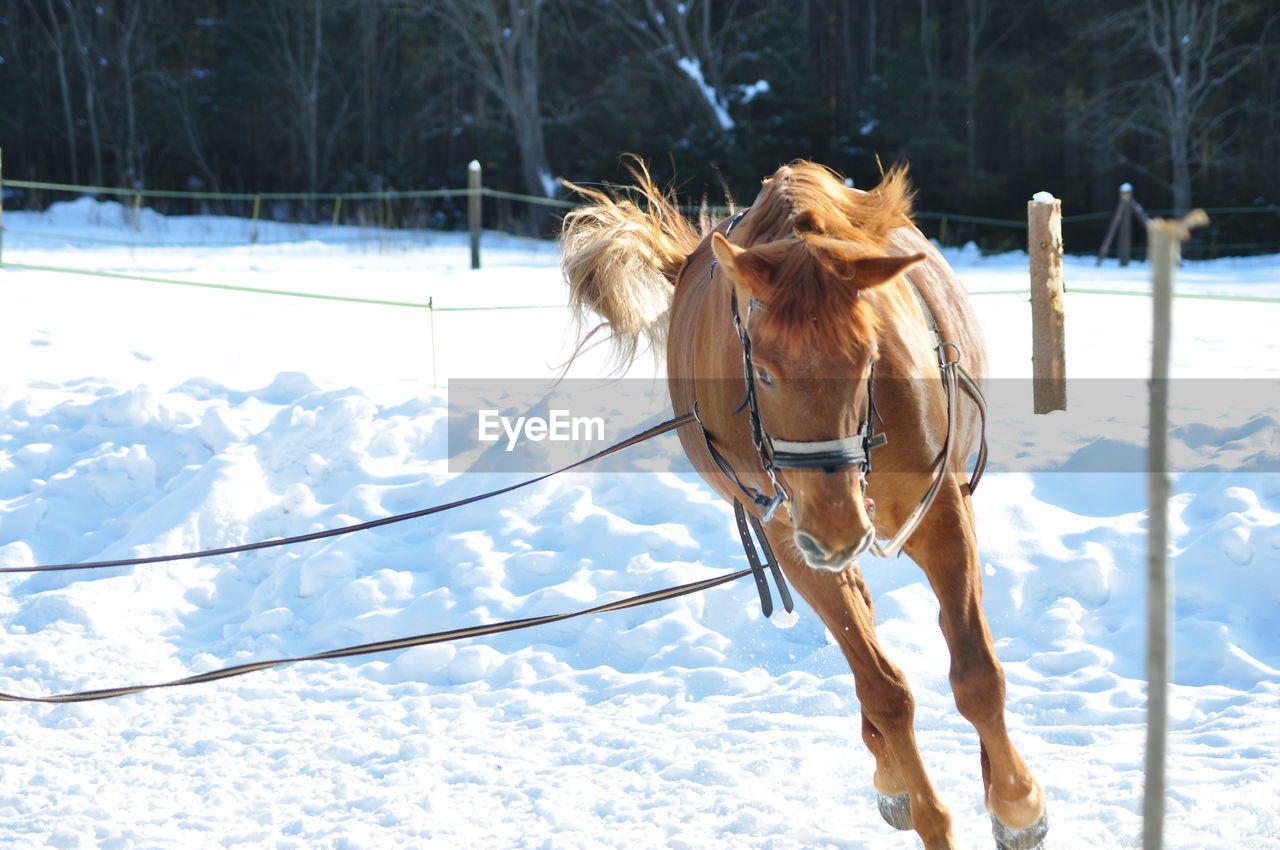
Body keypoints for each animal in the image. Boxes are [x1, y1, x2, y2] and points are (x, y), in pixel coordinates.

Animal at [563, 161, 1049, 850]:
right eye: (763, 372)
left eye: (868, 357)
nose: (839, 524)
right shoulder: (792, 539)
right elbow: (884, 690)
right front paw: (925, 808)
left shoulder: (939, 512)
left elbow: (976, 674)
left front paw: (1016, 804)